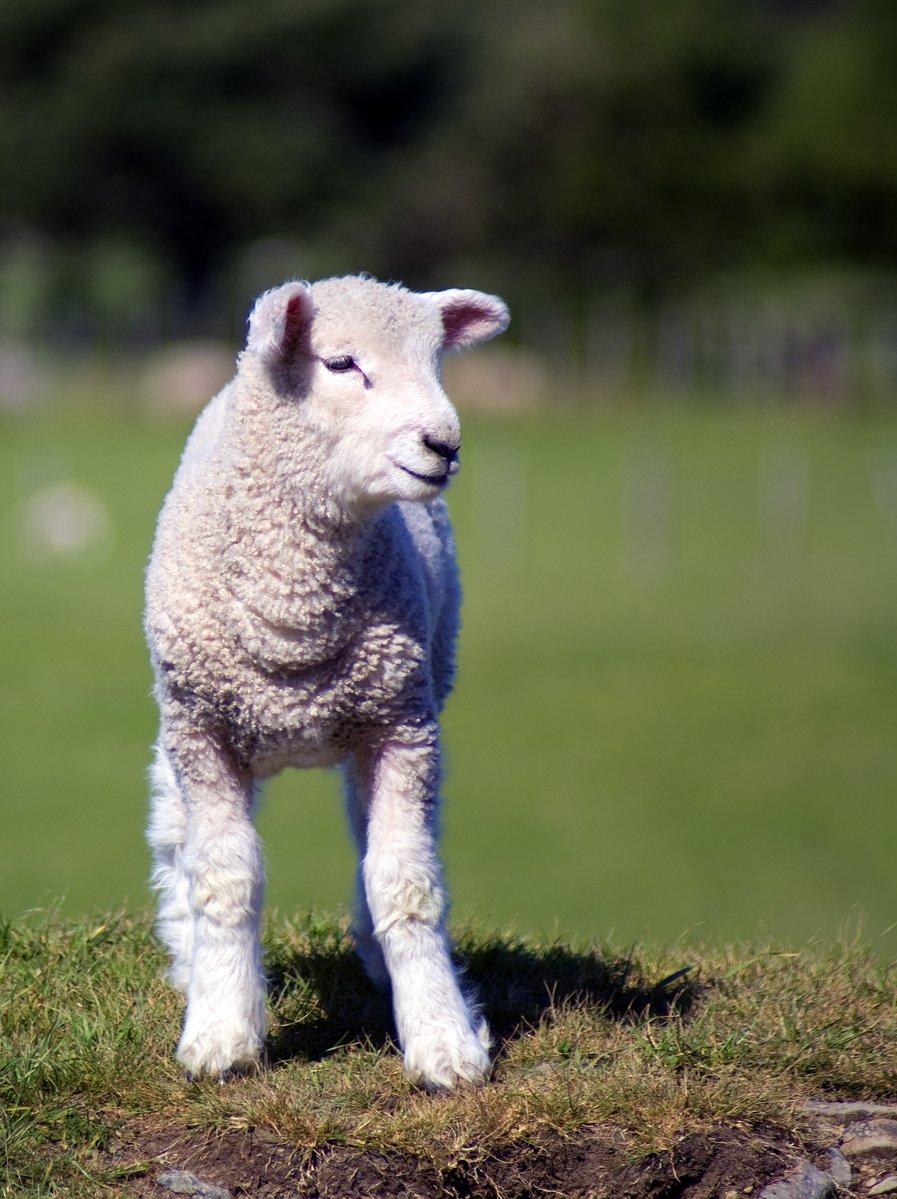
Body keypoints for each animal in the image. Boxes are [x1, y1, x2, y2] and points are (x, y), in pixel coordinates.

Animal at [146, 275, 510, 1093]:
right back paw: (188, 950)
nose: (443, 444)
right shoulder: (204, 732)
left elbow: (403, 880)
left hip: (411, 689)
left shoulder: (400, 725)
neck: (294, 617)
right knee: (178, 829)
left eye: (435, 361)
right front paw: (221, 1033)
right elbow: (225, 876)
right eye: (342, 363)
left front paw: (442, 1041)